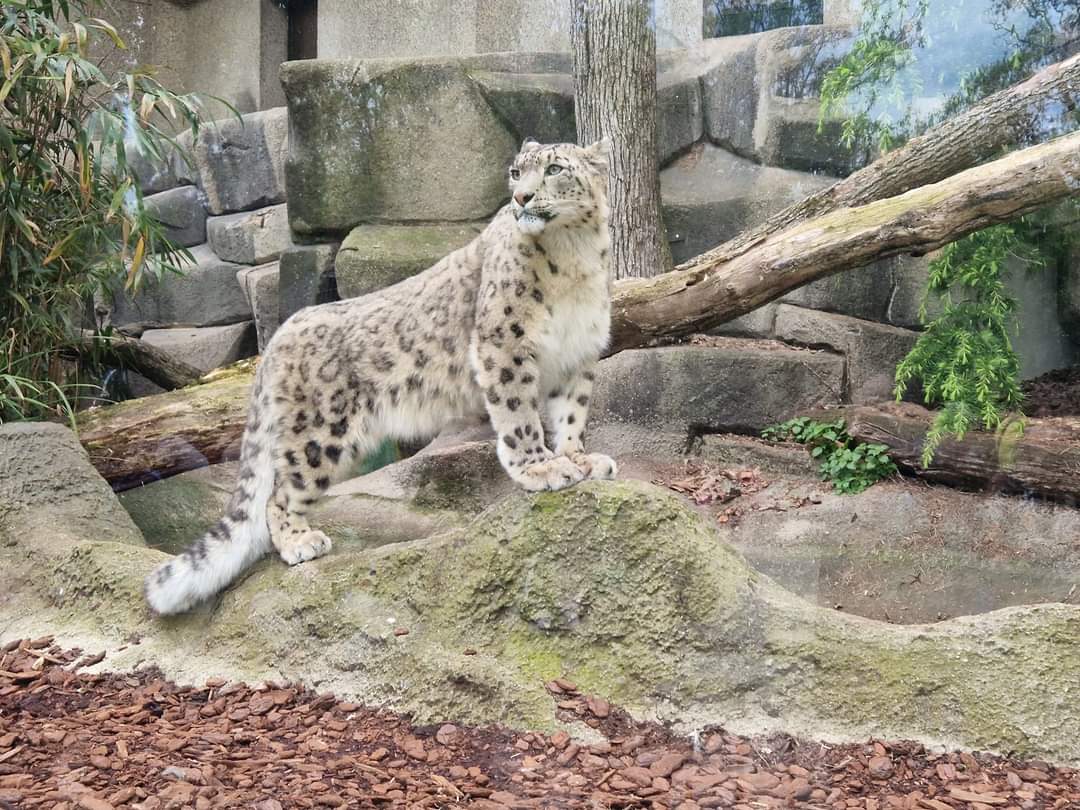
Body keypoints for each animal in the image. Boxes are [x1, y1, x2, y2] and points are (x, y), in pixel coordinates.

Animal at [144, 138, 618, 615]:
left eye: (555, 169)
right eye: (516, 172)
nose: (521, 198)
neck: (573, 256)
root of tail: (280, 333)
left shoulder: (578, 353)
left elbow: (571, 414)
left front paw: (579, 459)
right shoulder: (504, 345)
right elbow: (519, 416)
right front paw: (541, 468)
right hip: (320, 432)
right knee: (279, 491)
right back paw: (299, 542)